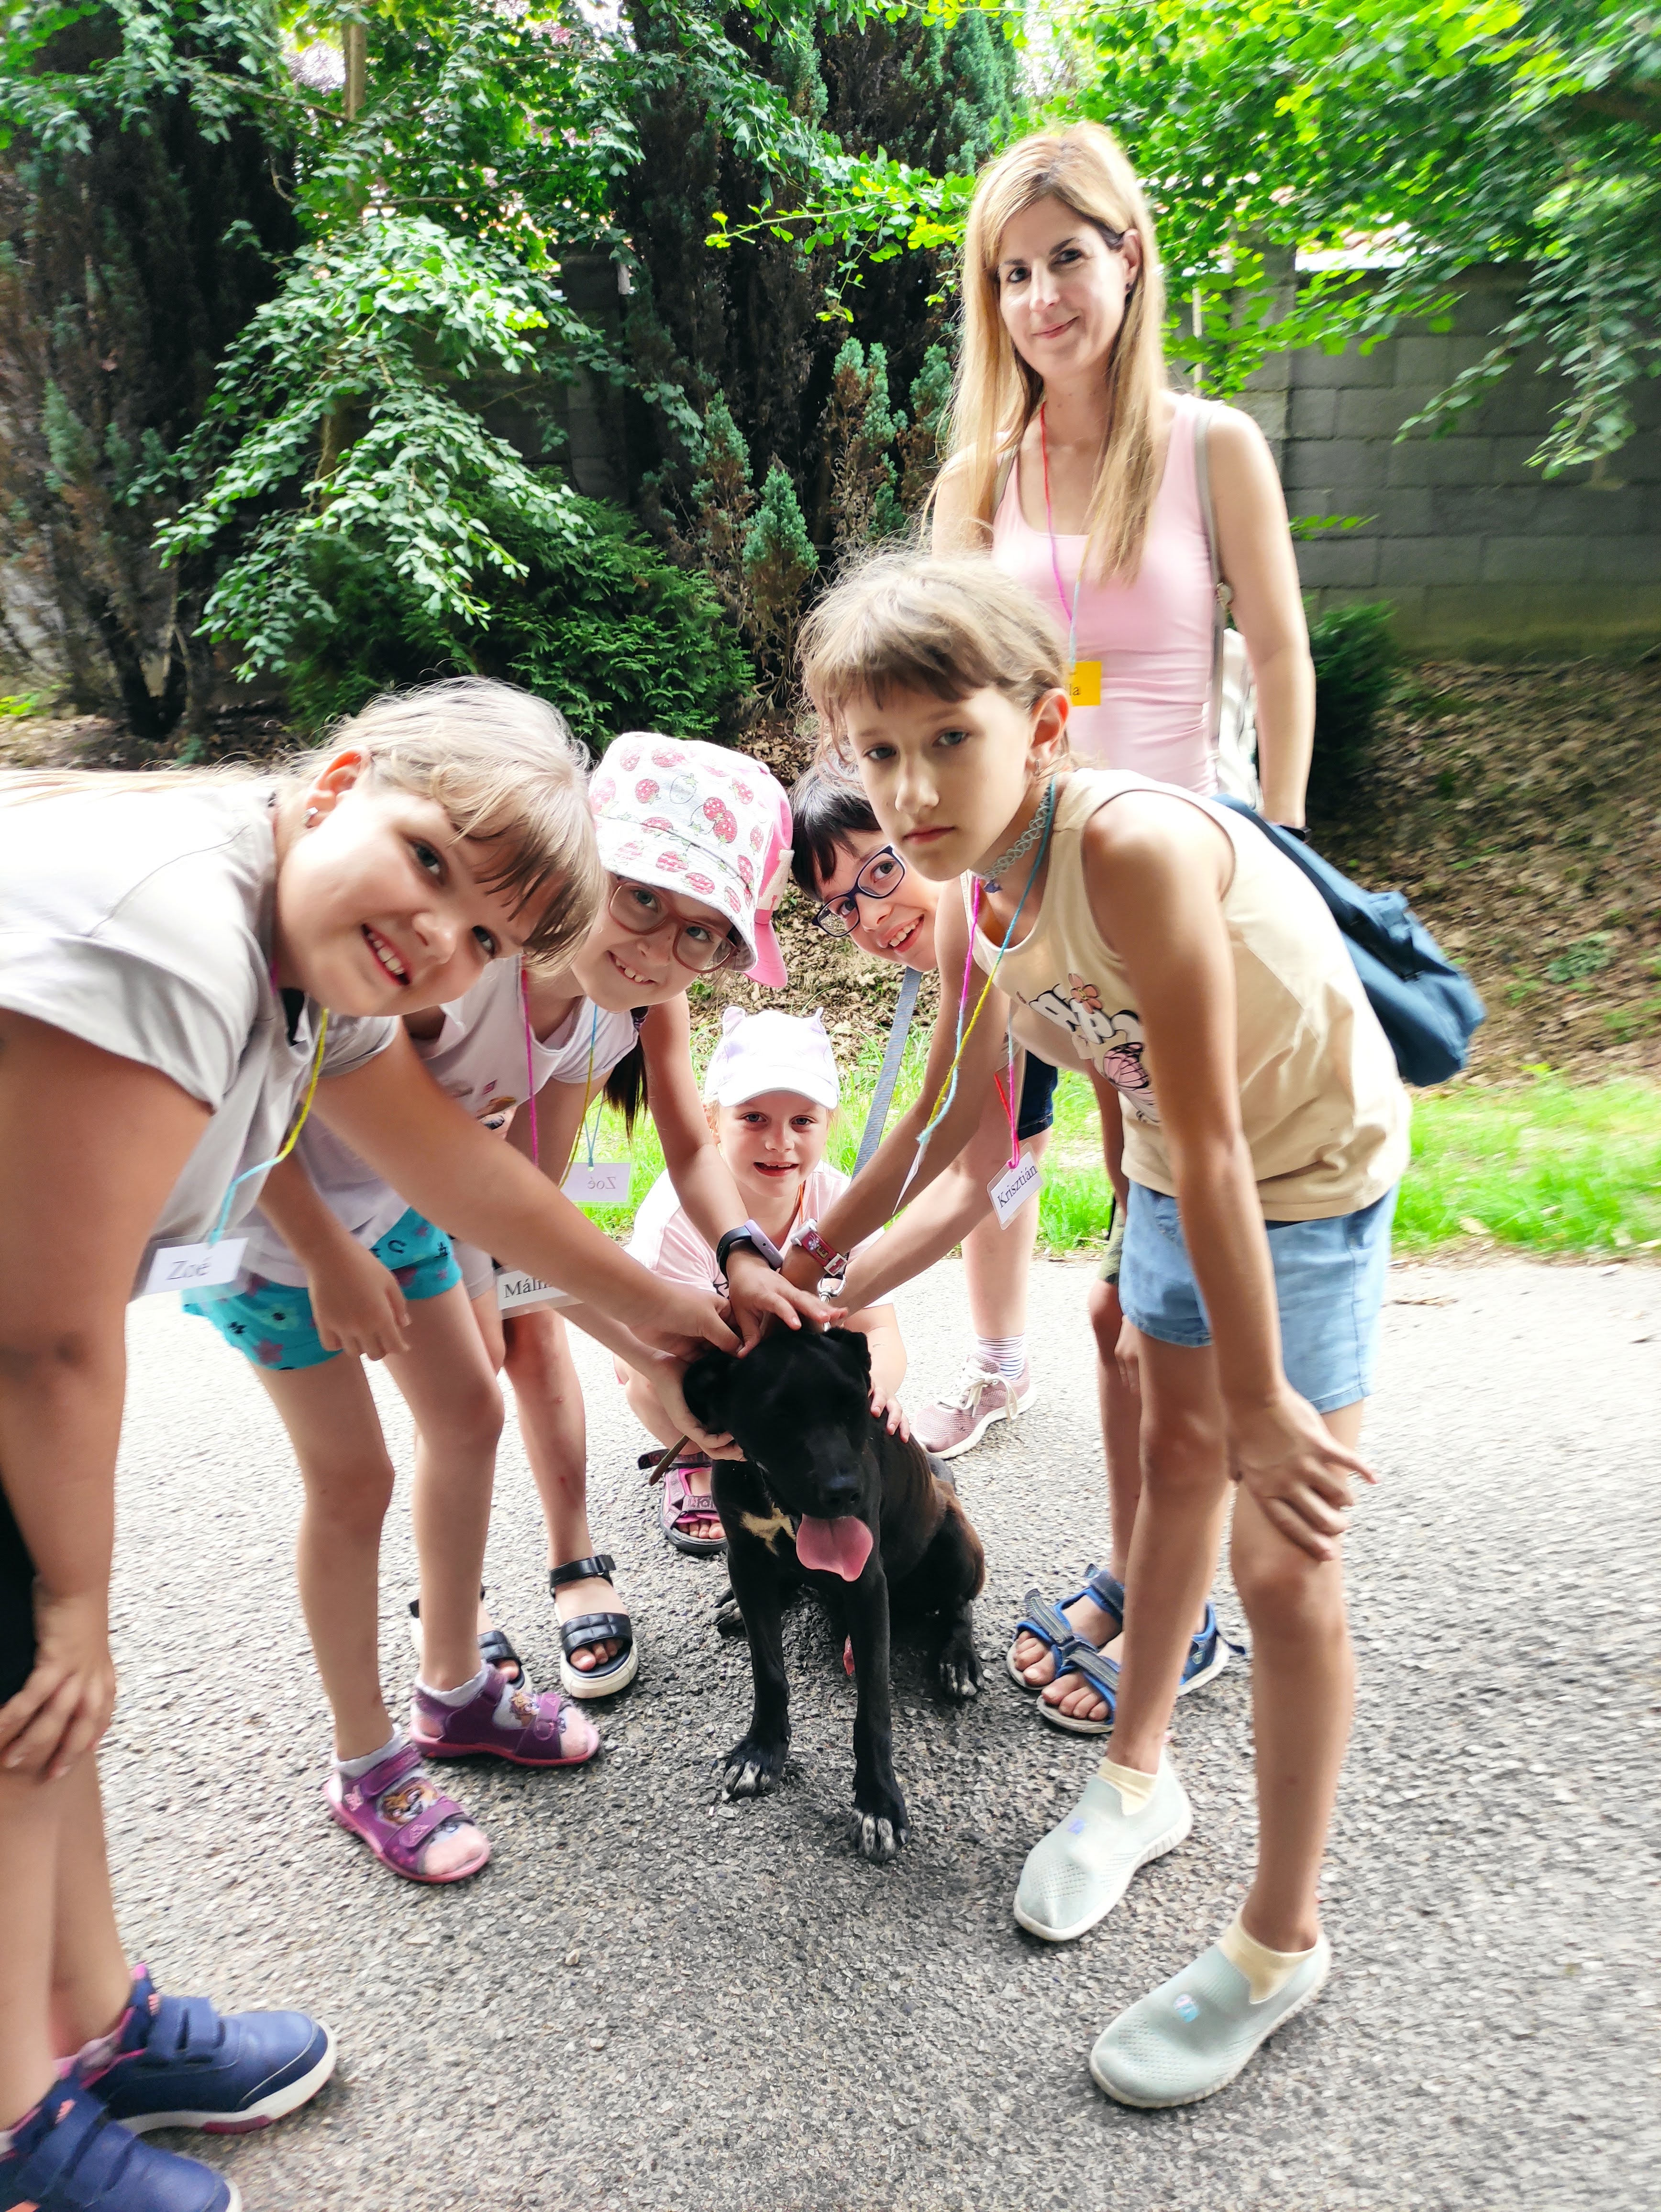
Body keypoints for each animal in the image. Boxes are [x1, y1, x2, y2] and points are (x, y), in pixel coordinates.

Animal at [682, 1326, 986, 1862]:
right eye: (776, 1417)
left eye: (855, 1405)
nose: (844, 1491)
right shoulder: (745, 1559)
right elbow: (769, 1673)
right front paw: (762, 1750)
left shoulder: (866, 1585)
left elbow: (873, 1710)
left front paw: (878, 1803)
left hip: (954, 1537)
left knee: (958, 1605)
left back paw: (958, 1658)